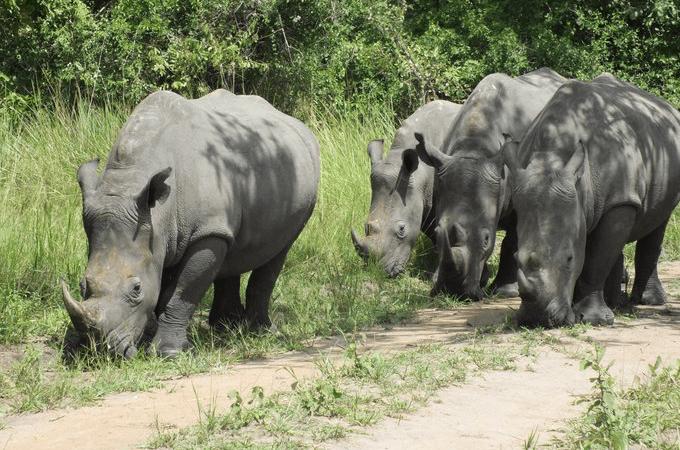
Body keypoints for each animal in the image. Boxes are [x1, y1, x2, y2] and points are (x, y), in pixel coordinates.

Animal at [62, 89, 320, 358]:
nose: (100, 350)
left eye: (136, 289)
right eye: (81, 285)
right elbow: (166, 287)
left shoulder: (203, 232)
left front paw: (169, 353)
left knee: (280, 249)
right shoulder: (162, 233)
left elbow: (182, 291)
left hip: (303, 182)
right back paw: (226, 327)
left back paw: (261, 332)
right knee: (232, 247)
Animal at [414, 68, 567, 300]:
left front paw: (505, 291)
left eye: (486, 239)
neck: (473, 150)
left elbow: (512, 240)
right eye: (439, 234)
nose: (455, 292)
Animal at [504, 73, 680, 327]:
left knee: (658, 221)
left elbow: (595, 261)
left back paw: (649, 302)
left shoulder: (619, 198)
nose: (537, 320)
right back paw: (616, 303)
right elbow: (600, 250)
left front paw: (594, 320)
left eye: (569, 258)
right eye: (517, 258)